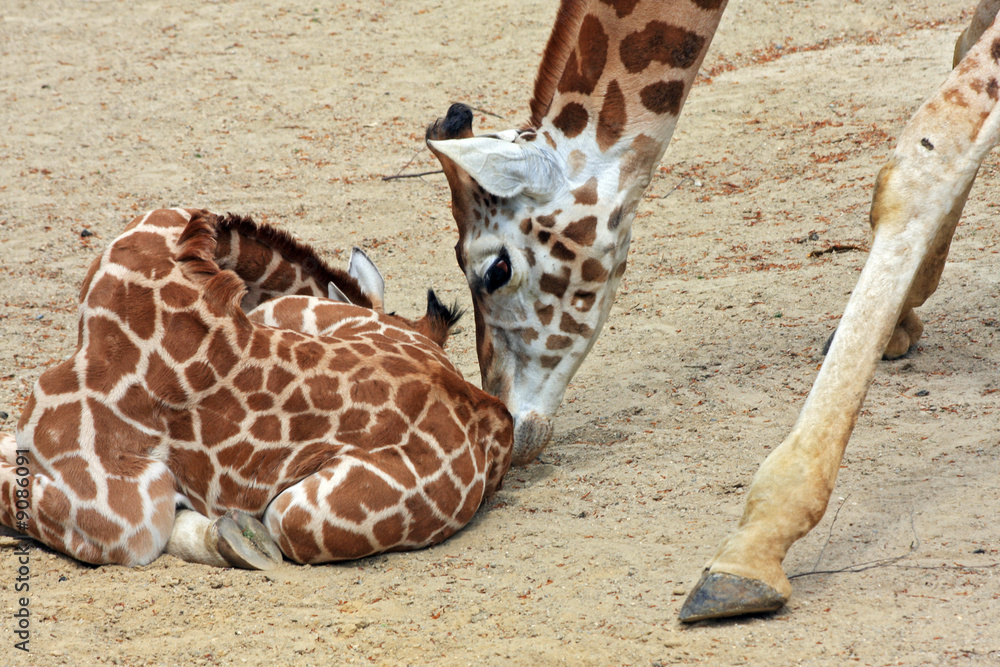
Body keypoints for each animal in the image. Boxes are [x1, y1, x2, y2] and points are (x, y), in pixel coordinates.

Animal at [425, 0, 1000, 620]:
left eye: (495, 270)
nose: (511, 423)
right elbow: (963, 44)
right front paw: (904, 314)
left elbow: (924, 158)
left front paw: (755, 546)